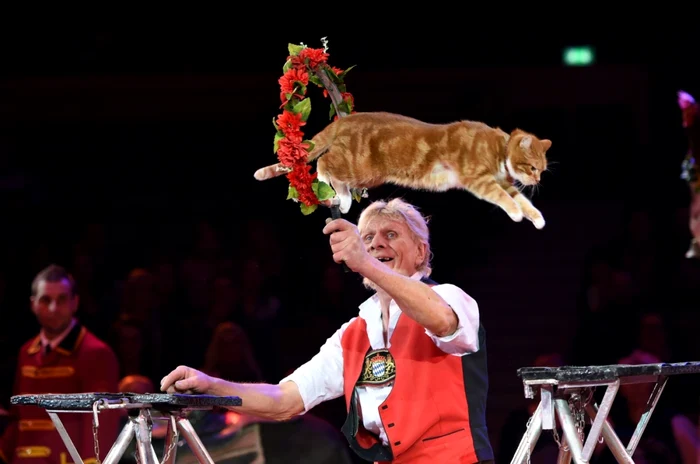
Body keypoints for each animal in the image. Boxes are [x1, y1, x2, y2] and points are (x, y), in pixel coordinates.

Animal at [253, 112, 552, 228]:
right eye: (533, 167)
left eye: (542, 170)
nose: (537, 180)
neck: (499, 148)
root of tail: (347, 119)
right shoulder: (480, 180)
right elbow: (506, 200)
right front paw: (515, 213)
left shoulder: (505, 182)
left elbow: (523, 201)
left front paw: (537, 218)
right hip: (357, 165)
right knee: (323, 163)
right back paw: (329, 182)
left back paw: (345, 200)